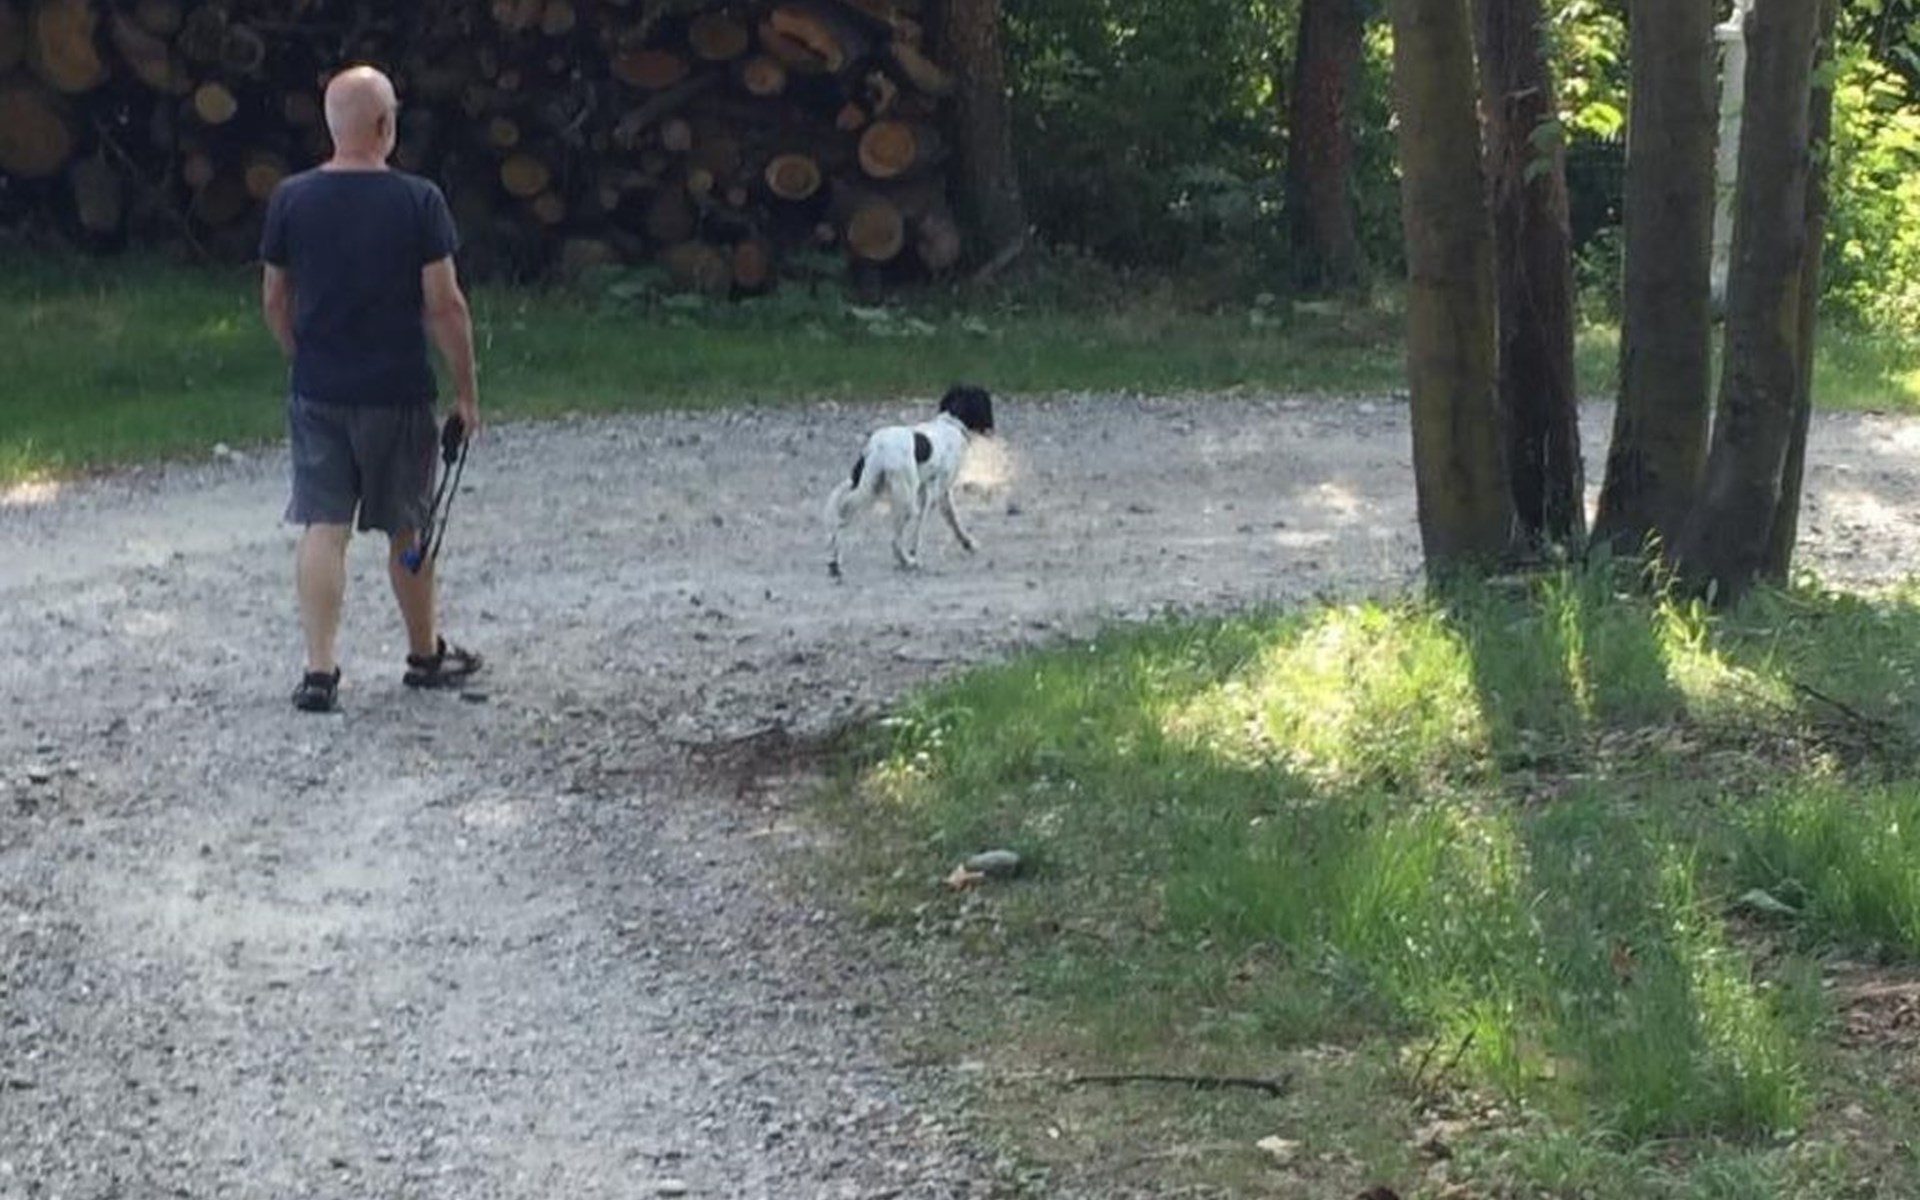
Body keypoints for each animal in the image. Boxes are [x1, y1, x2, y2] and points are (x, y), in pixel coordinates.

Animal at [826, 384, 996, 578]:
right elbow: (923, 528)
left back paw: (835, 561)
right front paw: (914, 553)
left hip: (869, 489)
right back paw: (907, 561)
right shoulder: (934, 493)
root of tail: (877, 447)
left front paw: (968, 543)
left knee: (843, 516)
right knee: (894, 541)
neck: (951, 422)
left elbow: (953, 520)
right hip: (905, 499)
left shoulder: (934, 492)